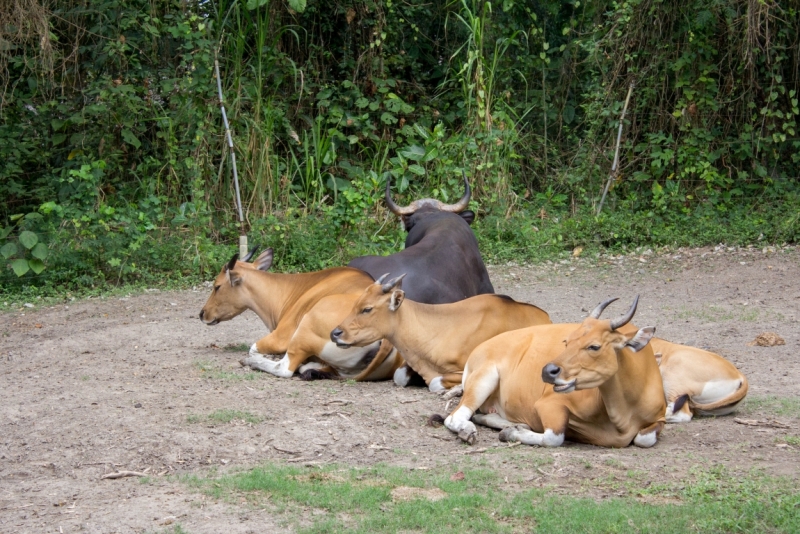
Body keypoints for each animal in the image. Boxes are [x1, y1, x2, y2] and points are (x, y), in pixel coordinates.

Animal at [198, 249, 404, 384]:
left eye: (217, 286)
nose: (202, 313)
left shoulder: (280, 338)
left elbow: (253, 348)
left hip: (304, 329)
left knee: (285, 369)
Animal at [440, 300, 664, 450]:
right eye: (567, 341)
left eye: (594, 346)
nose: (548, 371)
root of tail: (478, 350)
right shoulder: (549, 404)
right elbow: (553, 438)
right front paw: (512, 433)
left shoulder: (659, 417)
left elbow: (644, 439)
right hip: (484, 378)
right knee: (454, 416)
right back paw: (469, 431)